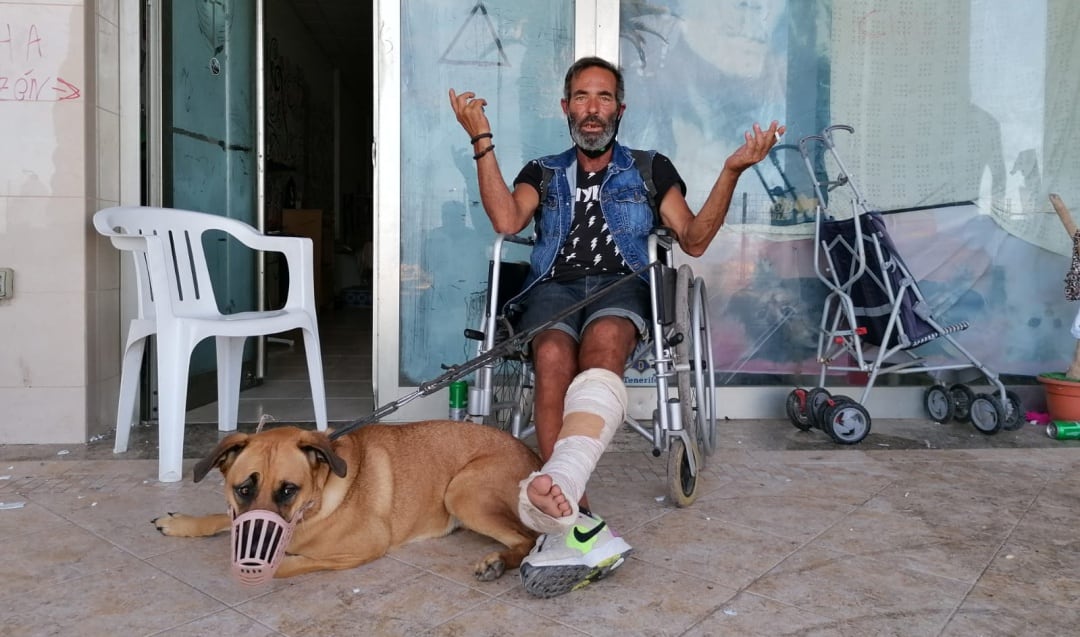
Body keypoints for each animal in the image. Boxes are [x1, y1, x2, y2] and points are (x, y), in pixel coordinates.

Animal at [152, 421, 540, 583]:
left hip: (460, 491)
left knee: (529, 540)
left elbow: (287, 563)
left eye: (288, 490)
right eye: (243, 489)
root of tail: (534, 455)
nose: (256, 543)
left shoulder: (364, 545)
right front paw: (182, 522)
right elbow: (223, 518)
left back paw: (497, 562)